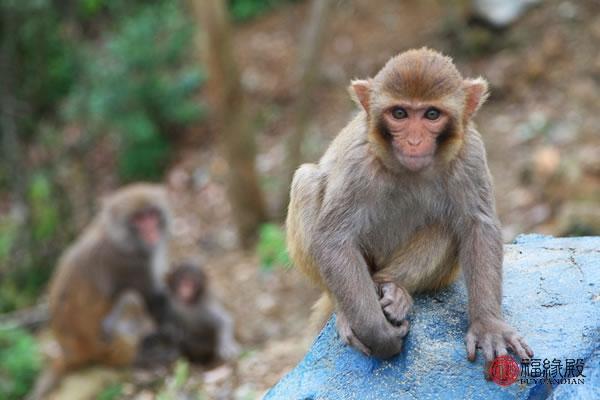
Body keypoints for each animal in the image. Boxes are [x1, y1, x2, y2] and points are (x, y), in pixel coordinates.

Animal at [32, 184, 171, 396]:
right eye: (138, 219)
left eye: (151, 214)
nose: (151, 230)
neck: (120, 238)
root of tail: (72, 354)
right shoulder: (130, 265)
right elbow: (151, 299)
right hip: (107, 348)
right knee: (130, 299)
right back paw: (140, 360)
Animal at [288, 47, 536, 362]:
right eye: (399, 113)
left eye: (431, 114)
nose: (414, 141)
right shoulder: (359, 161)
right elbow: (334, 238)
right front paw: (378, 334)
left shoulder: (470, 154)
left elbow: (478, 225)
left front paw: (488, 325)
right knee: (306, 182)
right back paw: (347, 310)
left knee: (446, 226)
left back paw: (393, 288)